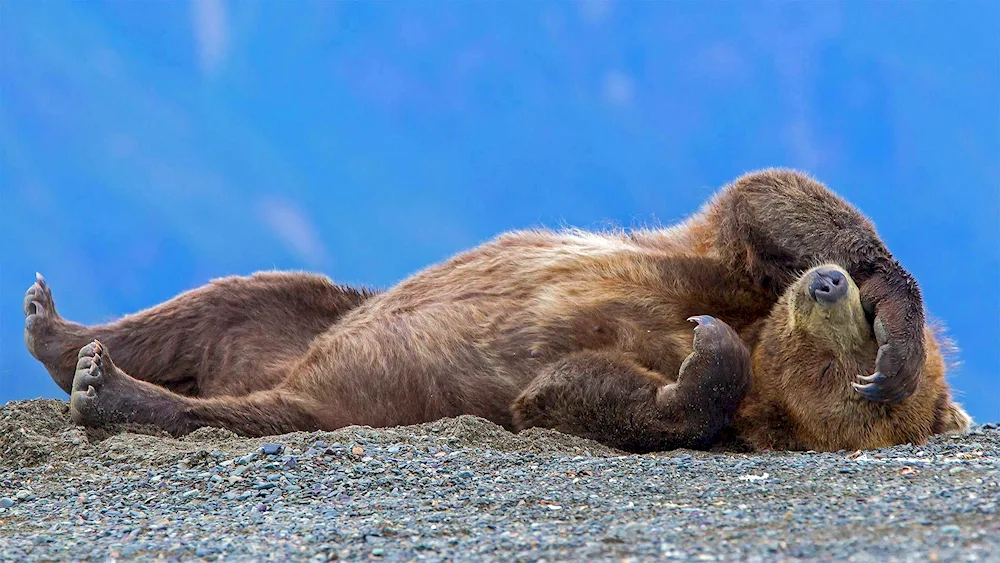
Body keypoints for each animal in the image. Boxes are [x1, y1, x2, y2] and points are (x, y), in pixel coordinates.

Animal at [23, 169, 972, 454]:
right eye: (851, 342)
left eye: (832, 369)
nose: (827, 290)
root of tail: (289, 365)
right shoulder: (715, 263)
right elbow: (769, 200)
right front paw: (898, 322)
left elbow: (572, 390)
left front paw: (703, 365)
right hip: (317, 312)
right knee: (237, 294)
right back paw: (59, 326)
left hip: (339, 396)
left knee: (254, 411)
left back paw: (109, 386)